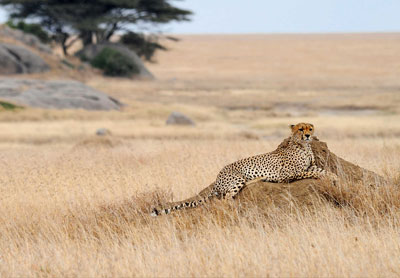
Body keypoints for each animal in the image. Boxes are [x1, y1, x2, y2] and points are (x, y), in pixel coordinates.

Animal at [152, 122, 336, 216]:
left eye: (310, 128)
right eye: (300, 129)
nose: (308, 135)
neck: (303, 146)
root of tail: (217, 177)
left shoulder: (309, 165)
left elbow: (321, 170)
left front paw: (333, 177)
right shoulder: (288, 174)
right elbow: (311, 172)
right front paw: (329, 177)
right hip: (237, 179)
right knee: (225, 199)